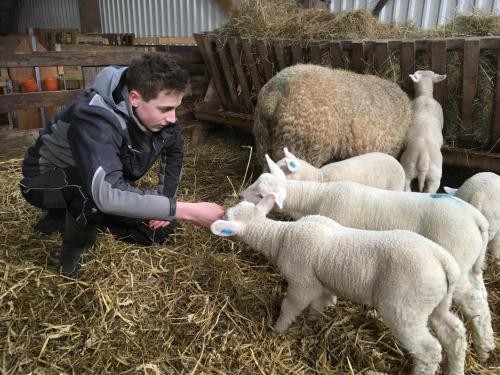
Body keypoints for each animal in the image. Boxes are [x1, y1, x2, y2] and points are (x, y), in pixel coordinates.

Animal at [210, 197, 464, 375]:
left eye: (228, 214)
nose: (219, 211)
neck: (282, 236)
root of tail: (443, 260)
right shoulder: (322, 283)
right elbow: (318, 305)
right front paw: (313, 324)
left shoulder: (303, 282)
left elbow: (289, 308)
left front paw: (275, 332)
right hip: (434, 302)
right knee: (454, 333)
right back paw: (456, 367)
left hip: (405, 307)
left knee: (429, 350)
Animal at [241, 155, 492, 362]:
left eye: (261, 195)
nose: (240, 195)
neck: (316, 196)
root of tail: (477, 218)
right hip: (468, 268)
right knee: (479, 297)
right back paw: (485, 347)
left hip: (456, 263)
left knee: (472, 300)